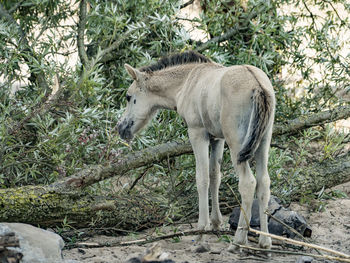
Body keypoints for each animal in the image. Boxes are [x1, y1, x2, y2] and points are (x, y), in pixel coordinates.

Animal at [118, 50, 276, 251]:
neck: (187, 82)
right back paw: (265, 242)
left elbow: (202, 179)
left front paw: (201, 233)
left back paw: (238, 241)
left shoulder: (197, 133)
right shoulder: (217, 138)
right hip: (263, 141)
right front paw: (216, 224)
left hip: (237, 144)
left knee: (248, 183)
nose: (121, 128)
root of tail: (258, 86)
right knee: (264, 182)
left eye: (128, 97)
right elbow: (215, 176)